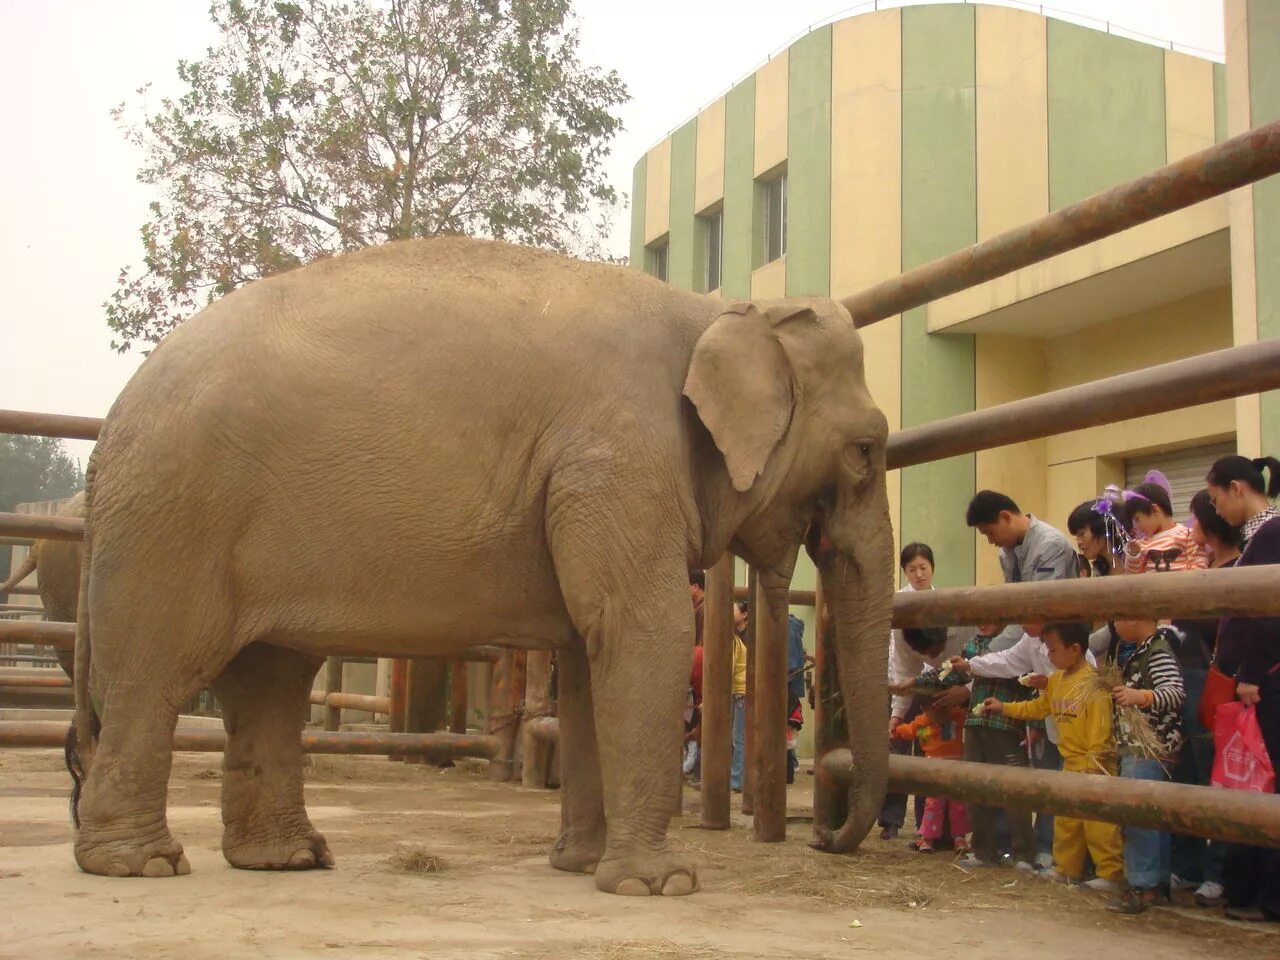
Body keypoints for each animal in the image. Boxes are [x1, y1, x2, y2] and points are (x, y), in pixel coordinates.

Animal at [67, 236, 890, 901]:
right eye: (867, 450)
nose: (825, 837)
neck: (715, 310)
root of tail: (105, 436)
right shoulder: (616, 458)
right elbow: (642, 629)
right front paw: (661, 886)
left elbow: (588, 654)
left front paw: (578, 866)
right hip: (172, 523)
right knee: (154, 677)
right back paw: (142, 865)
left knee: (269, 681)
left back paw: (287, 859)